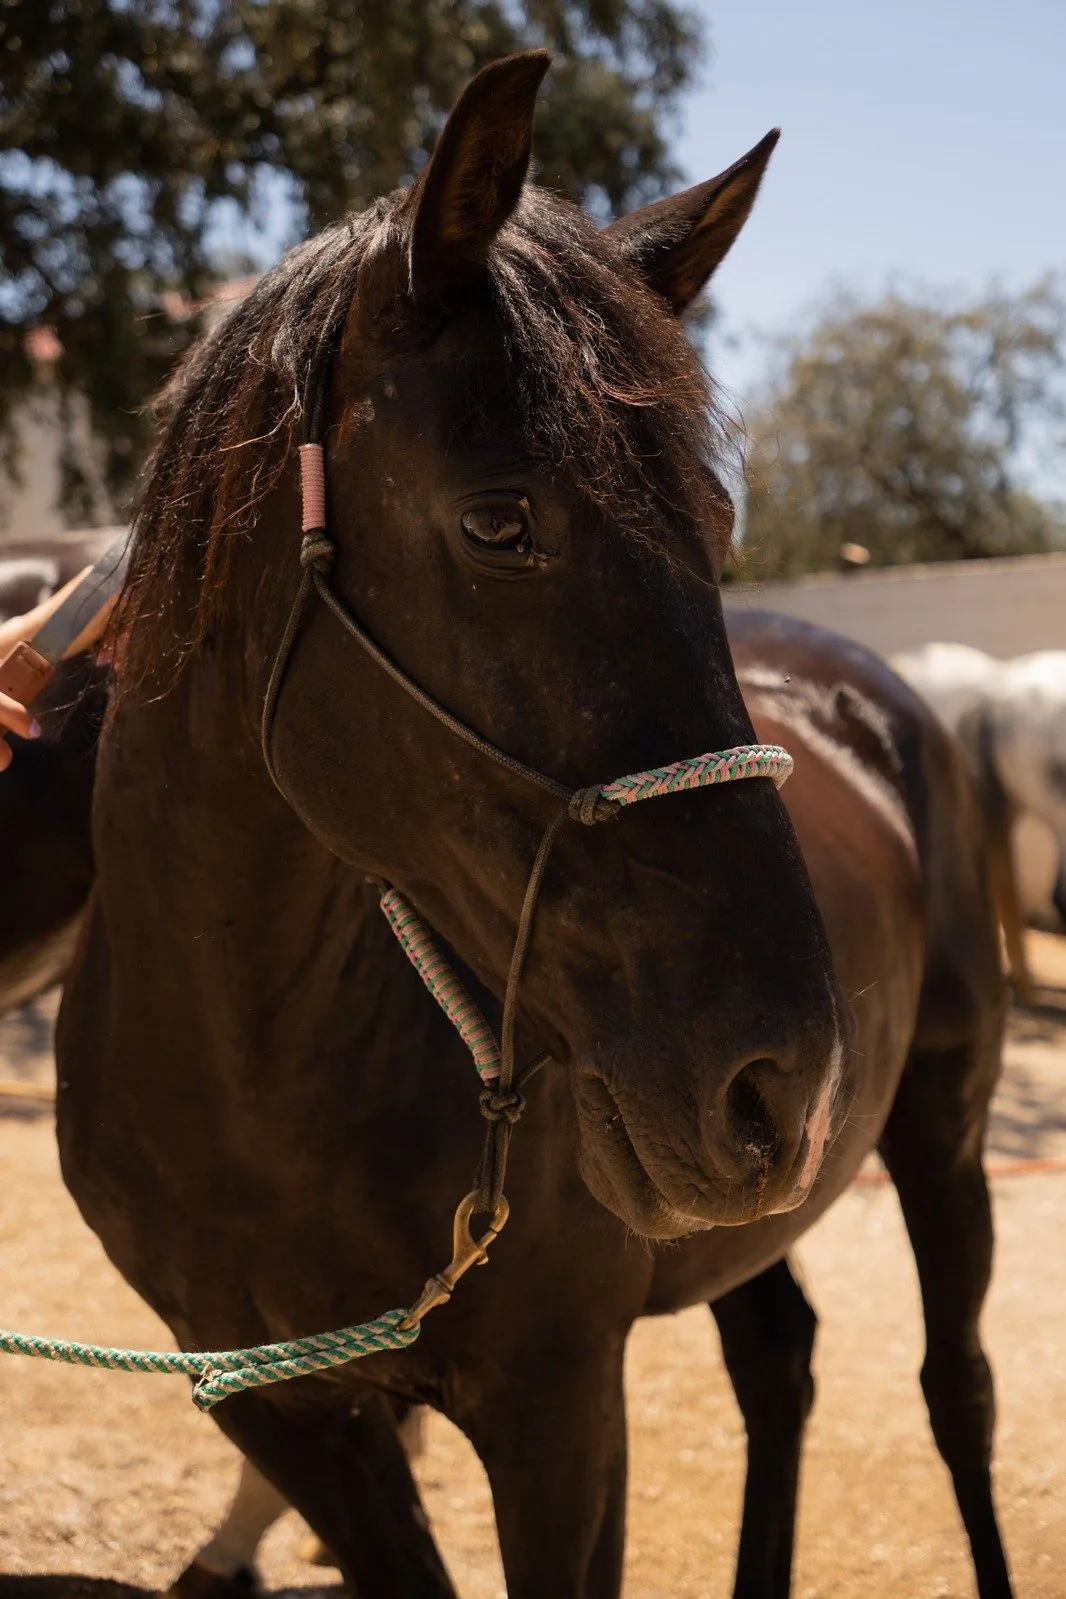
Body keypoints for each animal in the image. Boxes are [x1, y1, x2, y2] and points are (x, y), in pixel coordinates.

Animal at [48, 53, 1010, 1599]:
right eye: (500, 524)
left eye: (717, 526)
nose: (783, 1077)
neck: (251, 1079)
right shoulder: (280, 1411)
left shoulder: (557, 1406)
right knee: (780, 1361)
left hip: (945, 1126)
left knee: (955, 1392)